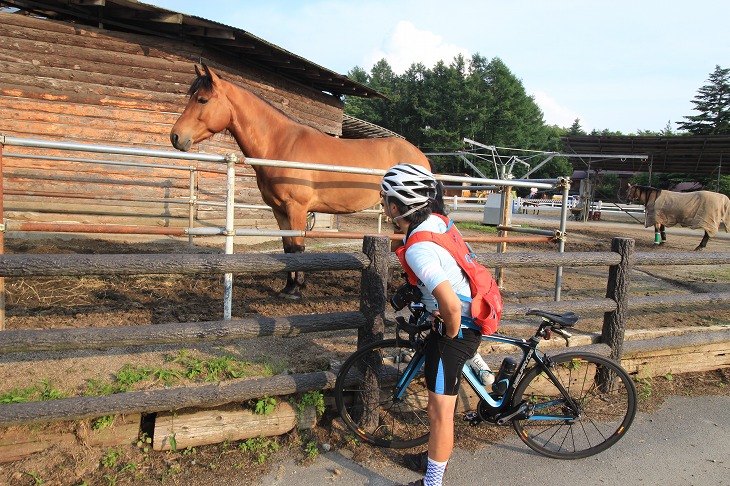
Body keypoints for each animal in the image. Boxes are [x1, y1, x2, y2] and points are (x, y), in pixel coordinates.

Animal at [169, 65, 432, 296]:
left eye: (202, 100)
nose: (175, 137)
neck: (280, 144)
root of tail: (419, 155)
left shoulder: (296, 208)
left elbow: (297, 246)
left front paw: (296, 289)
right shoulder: (279, 210)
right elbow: (287, 248)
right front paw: (288, 287)